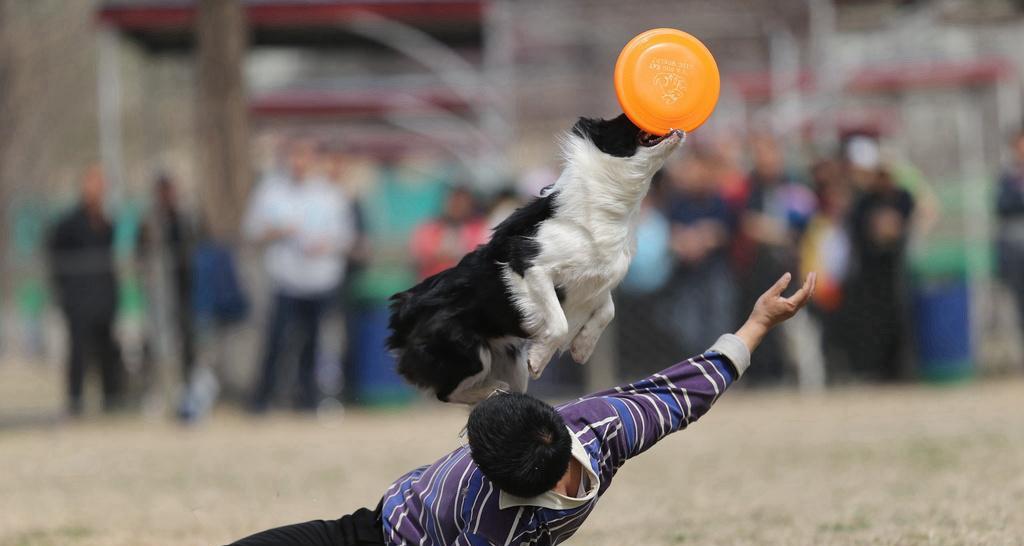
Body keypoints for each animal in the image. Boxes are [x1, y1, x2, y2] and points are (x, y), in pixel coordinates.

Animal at [387, 114, 684, 401]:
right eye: (626, 118)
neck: (608, 208)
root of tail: (404, 308)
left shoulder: (599, 281)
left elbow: (607, 311)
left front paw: (582, 347)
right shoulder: (531, 266)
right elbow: (560, 322)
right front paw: (540, 359)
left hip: (510, 362)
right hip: (468, 351)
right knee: (446, 392)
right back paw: (492, 389)